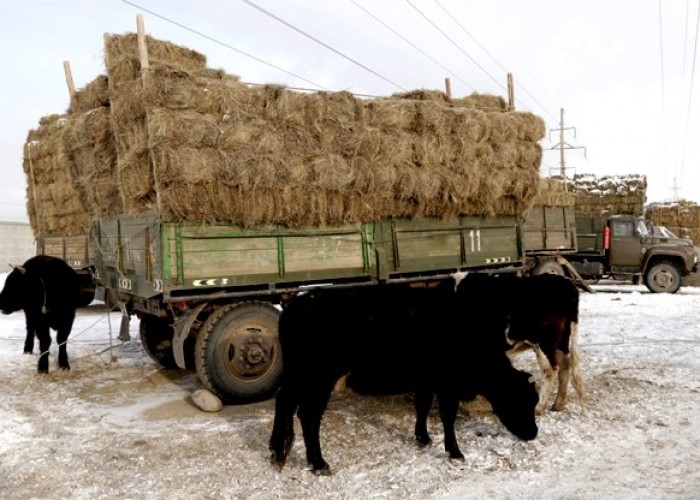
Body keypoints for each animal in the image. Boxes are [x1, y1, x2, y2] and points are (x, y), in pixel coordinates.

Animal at [270, 276, 540, 474]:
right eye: (521, 400)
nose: (533, 433)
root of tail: (298, 304)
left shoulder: (426, 380)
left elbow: (422, 406)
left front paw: (423, 437)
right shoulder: (448, 384)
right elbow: (447, 417)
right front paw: (454, 452)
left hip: (298, 375)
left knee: (284, 402)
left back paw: (277, 453)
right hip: (319, 377)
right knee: (308, 414)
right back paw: (318, 463)